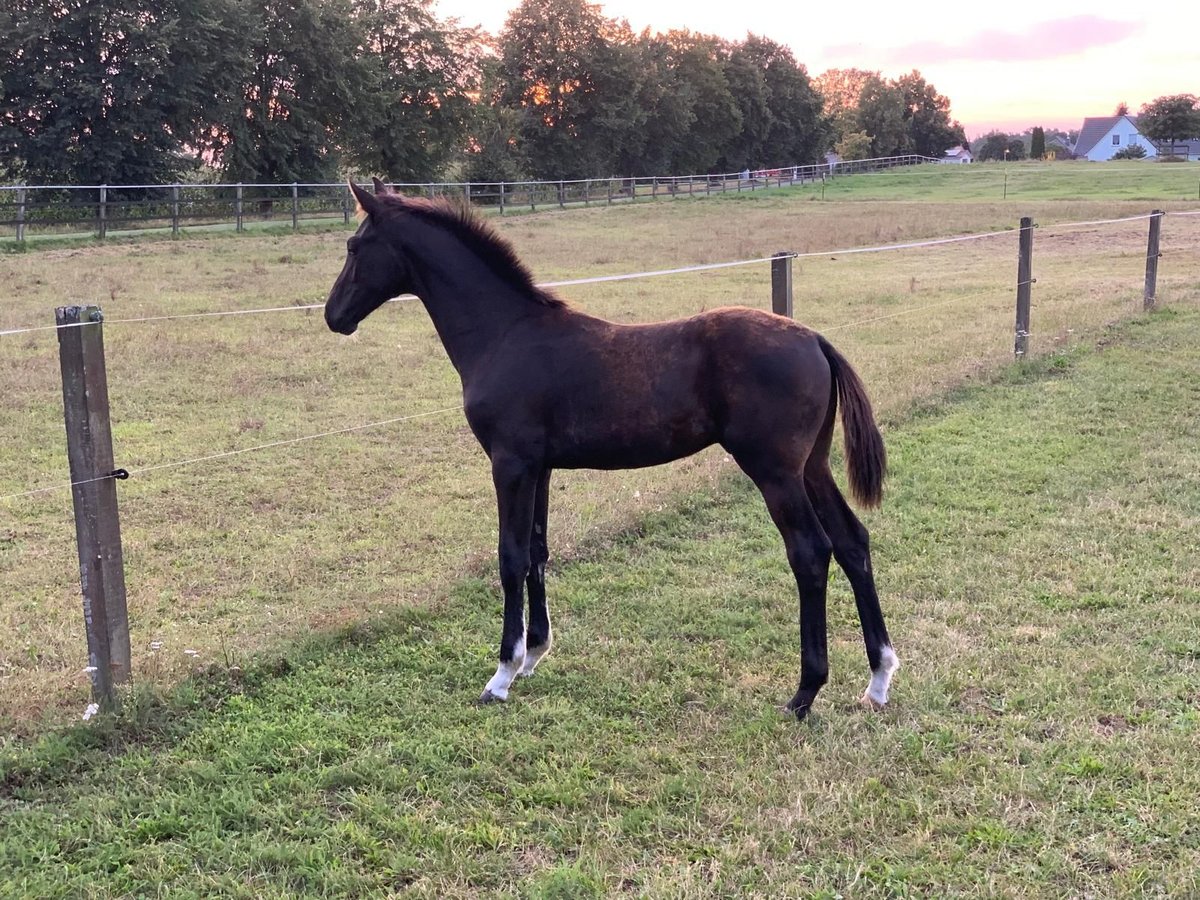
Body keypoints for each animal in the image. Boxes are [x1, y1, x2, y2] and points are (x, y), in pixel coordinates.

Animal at [324, 180, 897, 724]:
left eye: (354, 246)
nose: (333, 316)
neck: (505, 335)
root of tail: (815, 339)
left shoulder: (510, 464)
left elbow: (510, 558)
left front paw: (502, 674)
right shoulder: (540, 468)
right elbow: (537, 552)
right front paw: (535, 655)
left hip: (775, 472)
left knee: (811, 552)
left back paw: (804, 694)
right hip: (812, 467)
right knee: (852, 542)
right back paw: (878, 679)